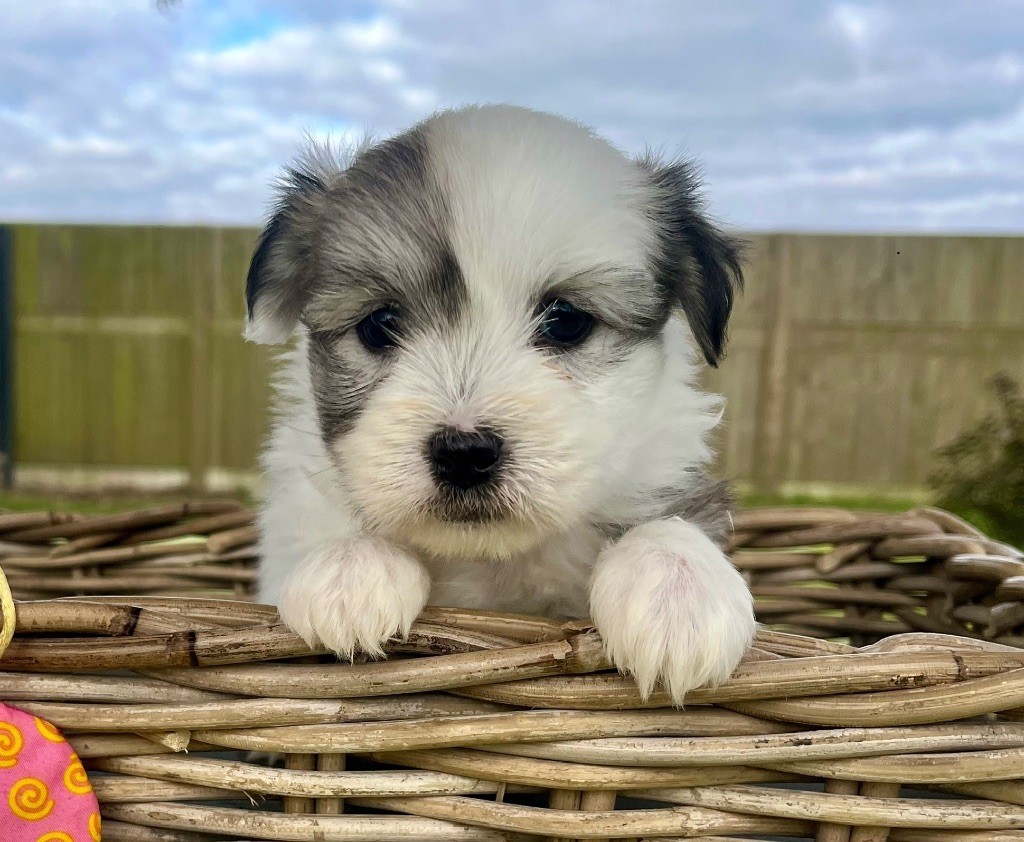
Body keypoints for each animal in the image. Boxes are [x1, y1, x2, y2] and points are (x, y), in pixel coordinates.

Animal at [244, 105, 757, 704]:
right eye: (379, 324)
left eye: (566, 321)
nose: (464, 452)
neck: (489, 558)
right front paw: (350, 565)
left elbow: (670, 519)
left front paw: (677, 587)